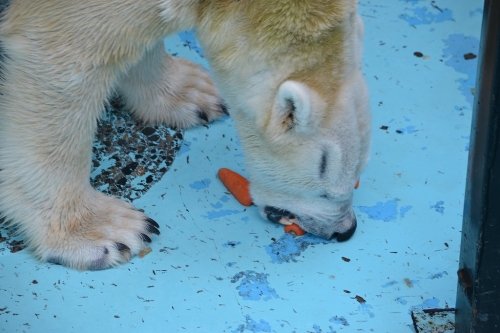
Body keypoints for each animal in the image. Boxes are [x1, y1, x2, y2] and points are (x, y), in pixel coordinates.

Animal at [0, 0, 368, 270]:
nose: (345, 230)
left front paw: (192, 93)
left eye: (357, 175)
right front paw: (109, 231)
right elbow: (63, 66)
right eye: (325, 185)